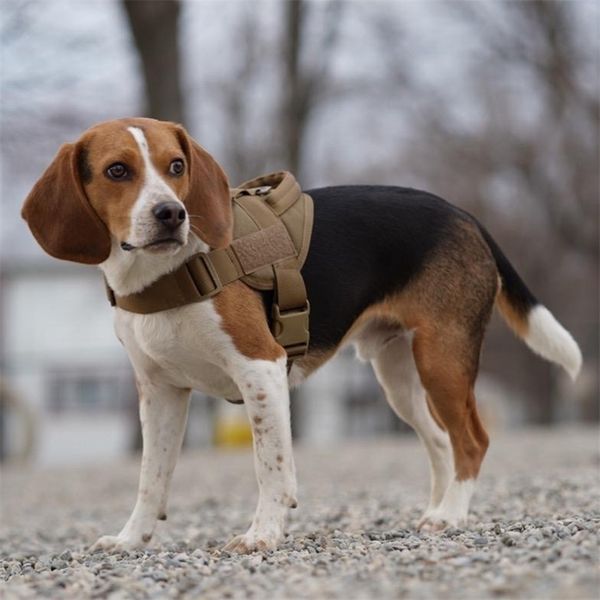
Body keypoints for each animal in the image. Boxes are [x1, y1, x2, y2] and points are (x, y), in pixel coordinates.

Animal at [23, 117, 580, 552]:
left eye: (176, 166)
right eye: (117, 170)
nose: (172, 214)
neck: (166, 275)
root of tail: (466, 216)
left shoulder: (260, 369)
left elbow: (270, 466)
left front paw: (263, 534)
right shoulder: (160, 393)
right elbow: (150, 481)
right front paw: (130, 540)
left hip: (442, 359)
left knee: (472, 441)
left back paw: (451, 515)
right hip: (399, 377)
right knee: (443, 443)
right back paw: (435, 511)